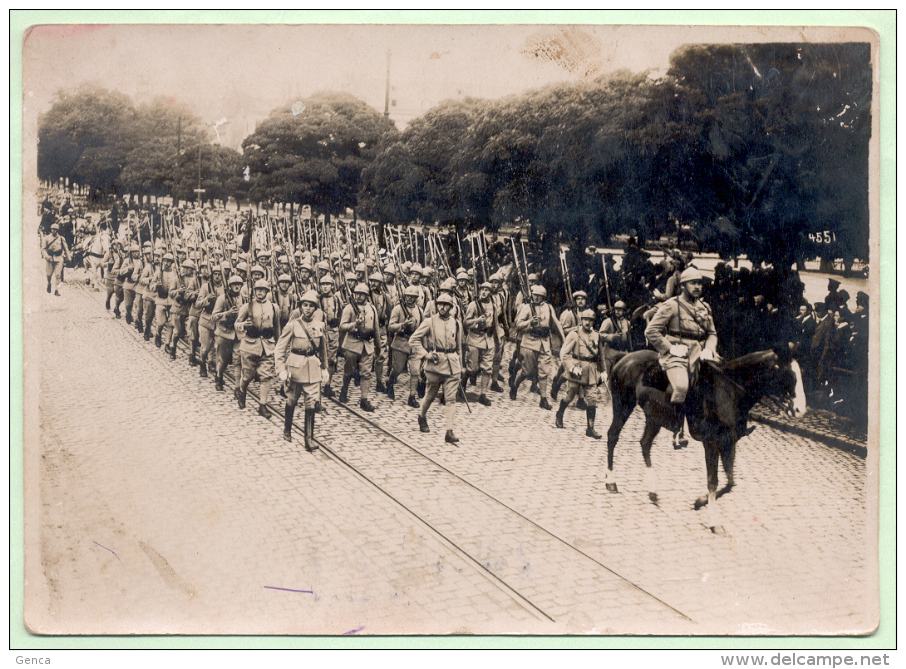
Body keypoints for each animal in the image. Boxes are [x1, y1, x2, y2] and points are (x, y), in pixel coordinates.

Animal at [600, 348, 804, 528]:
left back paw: (652, 491)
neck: (729, 390)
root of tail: (624, 358)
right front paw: (713, 521)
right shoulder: (711, 443)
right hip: (623, 405)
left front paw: (699, 502)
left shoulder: (729, 442)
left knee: (645, 444)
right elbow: (713, 481)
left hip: (654, 418)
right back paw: (611, 482)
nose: (801, 409)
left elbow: (730, 482)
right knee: (612, 437)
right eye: (789, 374)